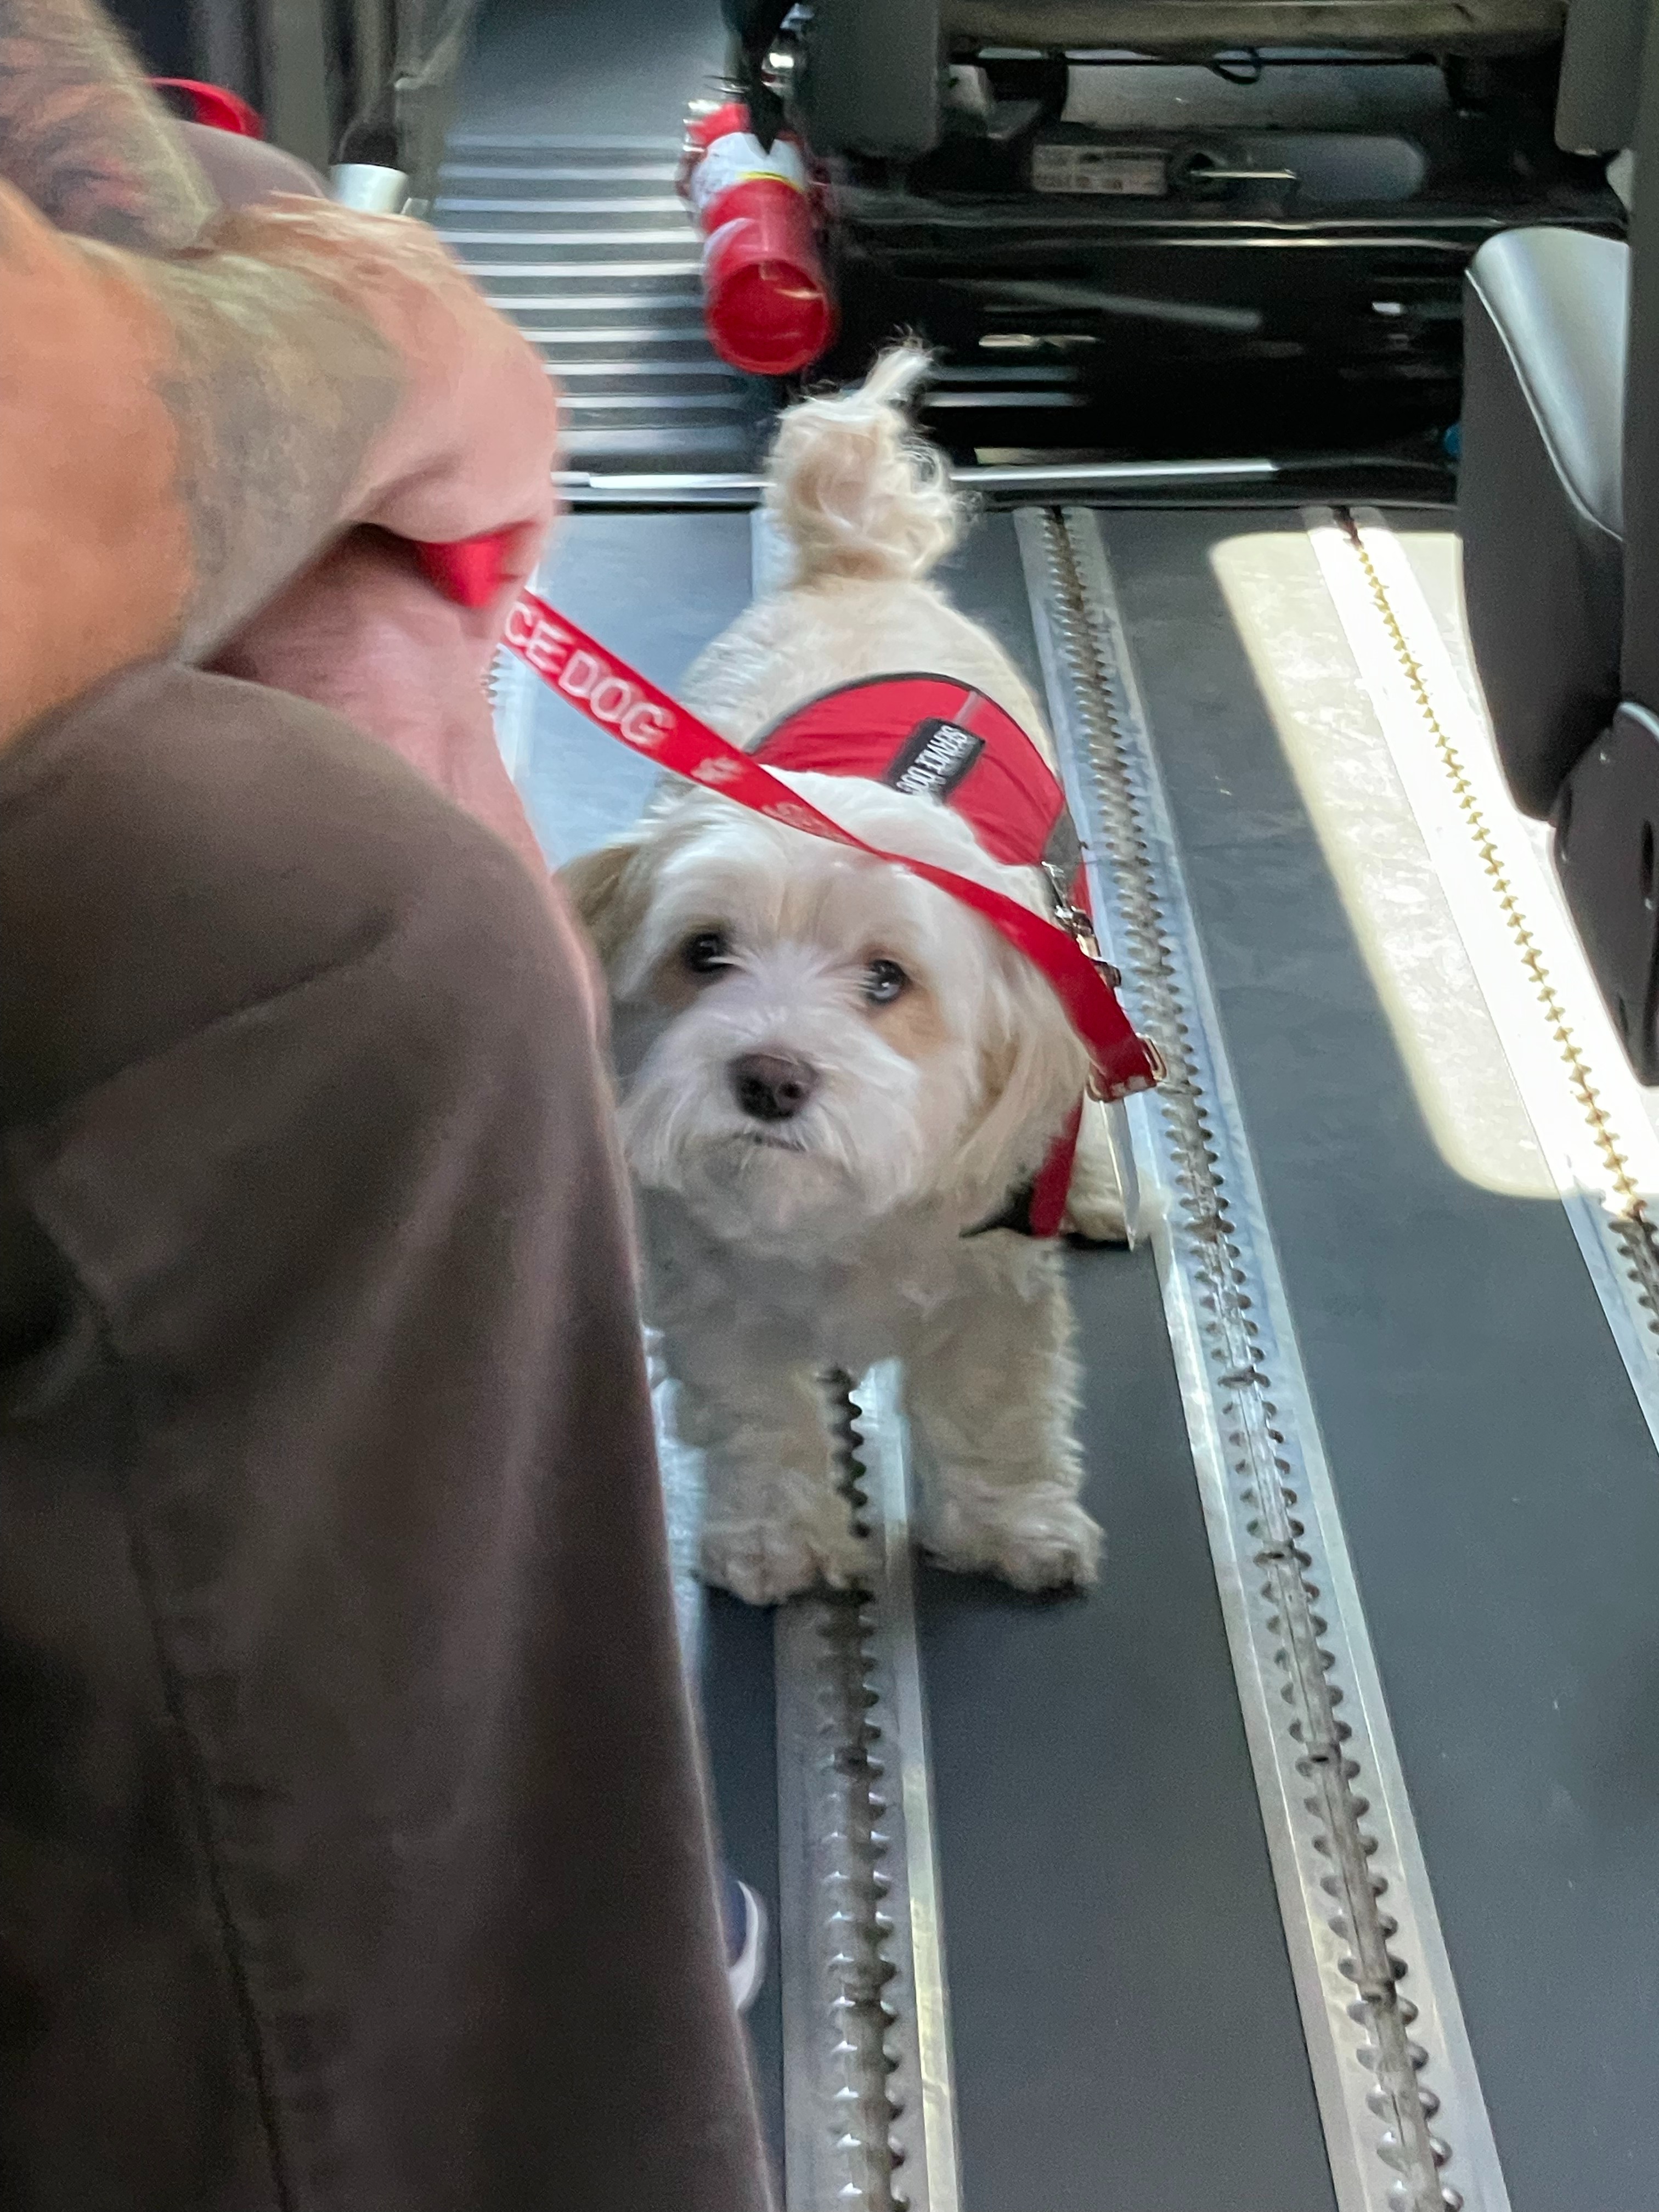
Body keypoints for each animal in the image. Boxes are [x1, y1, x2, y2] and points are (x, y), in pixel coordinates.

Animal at [564, 346, 1128, 1606]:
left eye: (887, 980)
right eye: (703, 953)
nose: (770, 1077)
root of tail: (853, 564)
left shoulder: (993, 1286)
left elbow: (995, 1406)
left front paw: (1009, 1524)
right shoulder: (708, 1288)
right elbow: (753, 1409)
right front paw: (774, 1534)